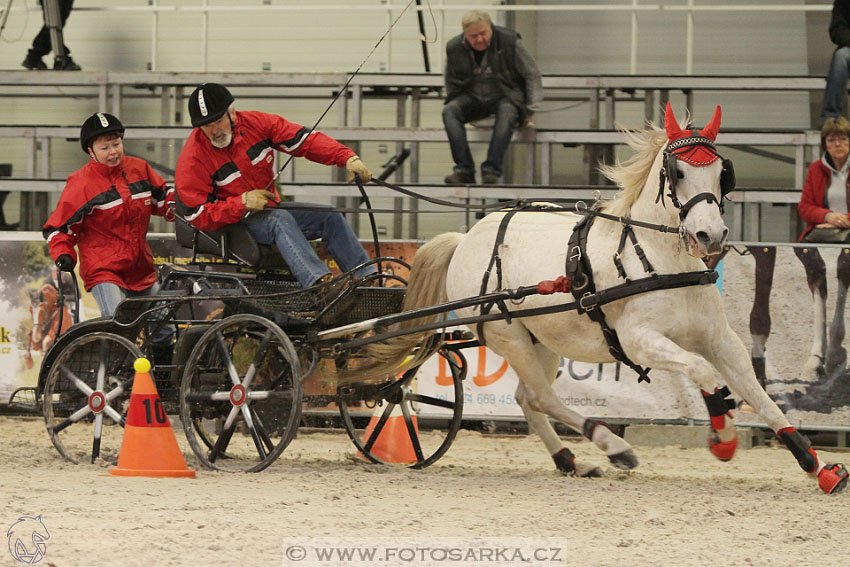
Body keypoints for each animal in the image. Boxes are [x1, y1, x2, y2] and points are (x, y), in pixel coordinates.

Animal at [366, 104, 848, 494]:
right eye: (678, 172)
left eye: (721, 172)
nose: (711, 234)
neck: (659, 258)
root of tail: (466, 238)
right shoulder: (640, 340)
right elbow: (702, 371)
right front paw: (724, 436)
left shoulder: (719, 338)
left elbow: (757, 391)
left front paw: (815, 464)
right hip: (507, 335)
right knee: (544, 397)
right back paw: (612, 445)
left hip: (542, 339)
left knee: (528, 397)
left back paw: (571, 460)